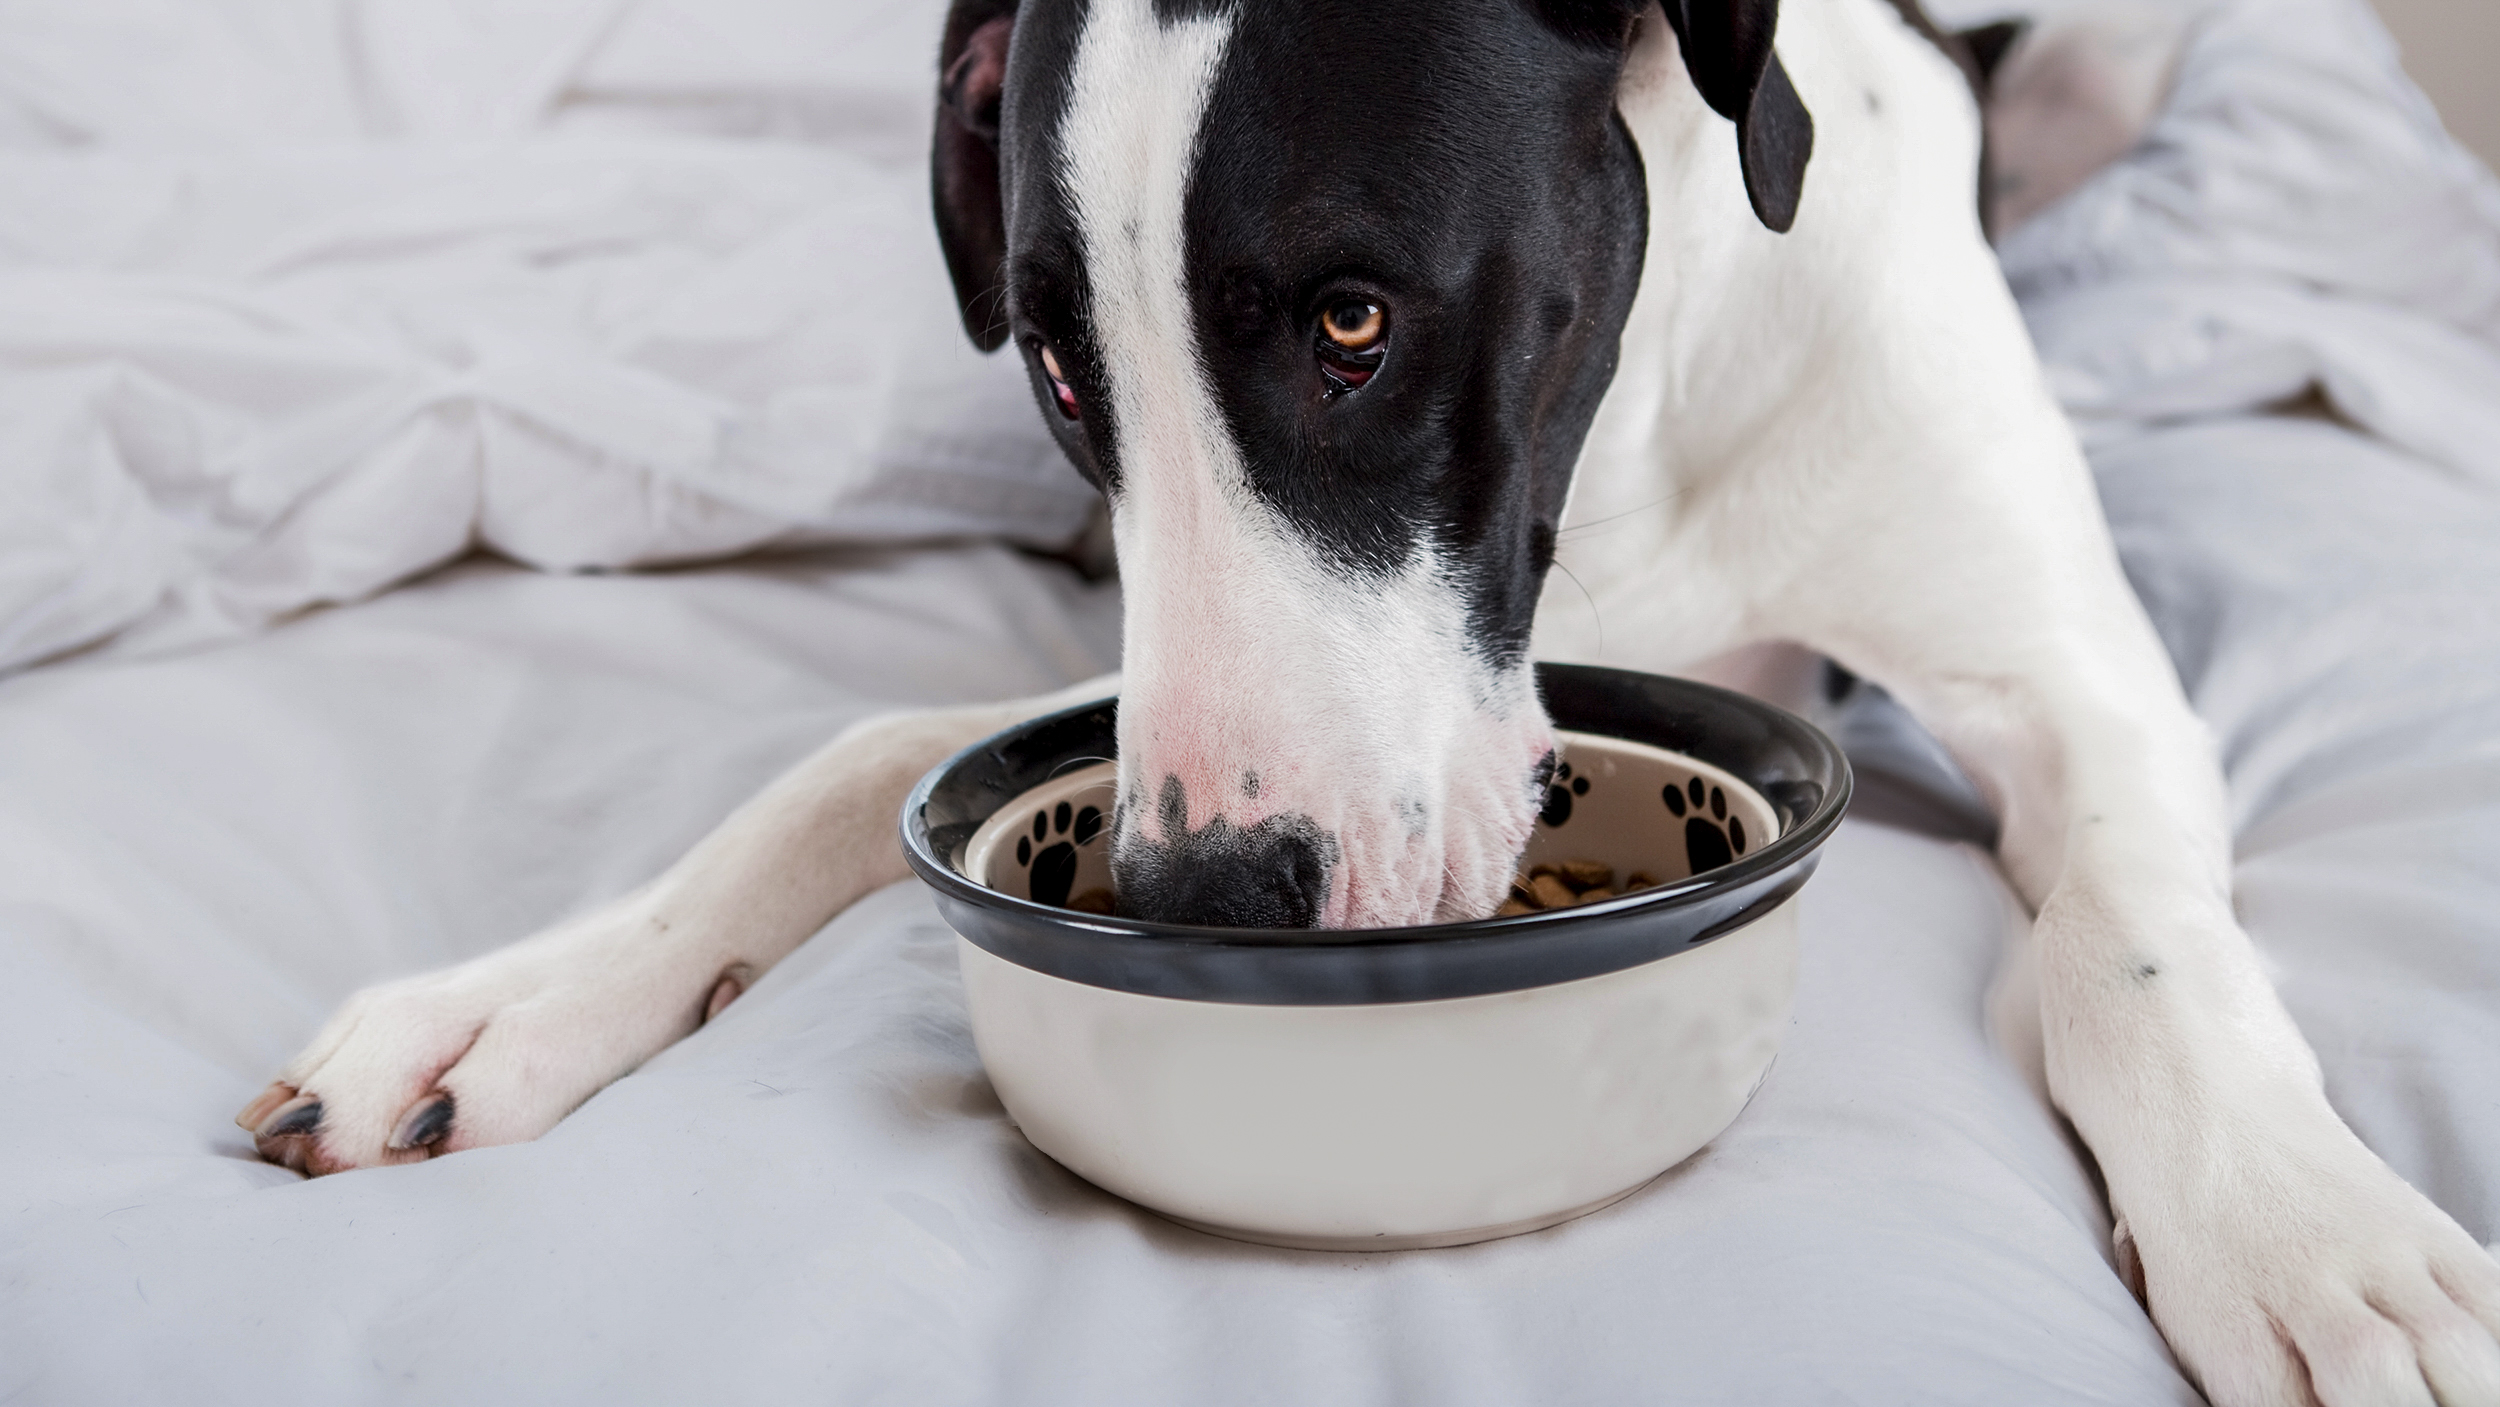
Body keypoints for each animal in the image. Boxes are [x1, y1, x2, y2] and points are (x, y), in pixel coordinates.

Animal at [235, 5, 2500, 1399]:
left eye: (1352, 320)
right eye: (1058, 371)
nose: (1202, 895)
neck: (1640, 411)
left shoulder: (2081, 684)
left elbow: (2129, 947)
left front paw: (2308, 1239)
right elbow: (851, 754)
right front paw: (526, 991)